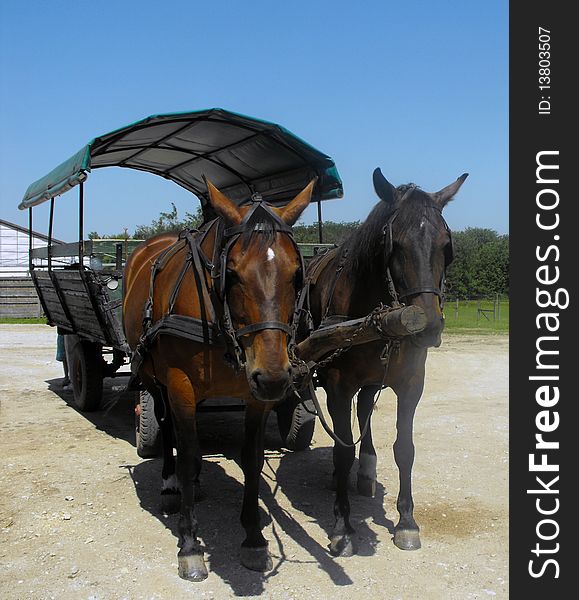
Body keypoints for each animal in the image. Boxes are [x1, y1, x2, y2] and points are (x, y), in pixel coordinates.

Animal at [121, 179, 312, 580]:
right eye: (233, 274)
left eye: (296, 275)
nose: (274, 378)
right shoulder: (179, 383)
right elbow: (188, 452)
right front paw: (190, 544)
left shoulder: (254, 394)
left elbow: (251, 458)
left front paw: (253, 538)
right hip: (154, 378)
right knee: (168, 427)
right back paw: (171, 485)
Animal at [306, 166, 468, 556]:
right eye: (395, 247)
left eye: (446, 246)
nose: (429, 326)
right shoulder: (337, 387)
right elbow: (341, 450)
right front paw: (342, 528)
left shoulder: (411, 383)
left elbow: (404, 449)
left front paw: (407, 522)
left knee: (366, 407)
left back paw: (366, 472)